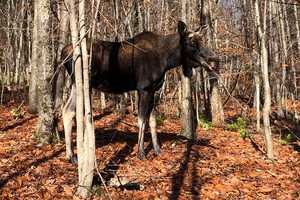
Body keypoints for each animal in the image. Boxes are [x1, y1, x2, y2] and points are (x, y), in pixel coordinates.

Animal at [61, 20, 219, 162]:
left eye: (202, 41)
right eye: (191, 43)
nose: (214, 58)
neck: (167, 60)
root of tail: (63, 52)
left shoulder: (153, 90)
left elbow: (153, 122)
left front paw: (157, 150)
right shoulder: (144, 89)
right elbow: (142, 121)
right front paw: (141, 152)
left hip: (76, 84)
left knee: (67, 110)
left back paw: (71, 155)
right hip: (82, 83)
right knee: (70, 110)